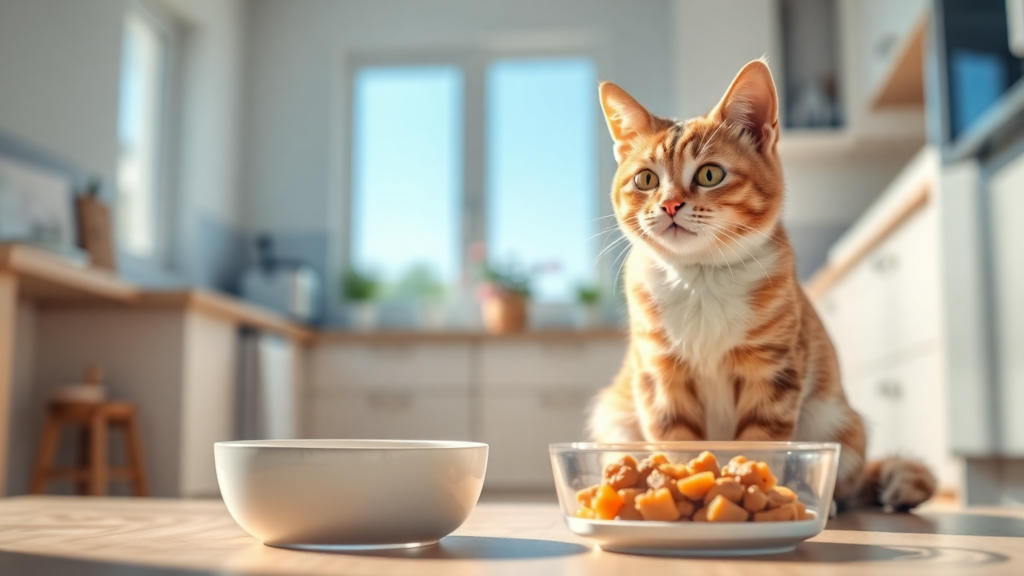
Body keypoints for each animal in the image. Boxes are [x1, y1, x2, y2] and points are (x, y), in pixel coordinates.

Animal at [585, 57, 937, 506]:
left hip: (837, 420)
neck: (700, 279)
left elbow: (760, 443)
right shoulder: (662, 377)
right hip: (615, 413)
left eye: (710, 174)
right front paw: (673, 488)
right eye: (646, 179)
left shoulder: (772, 370)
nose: (669, 205)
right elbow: (676, 441)